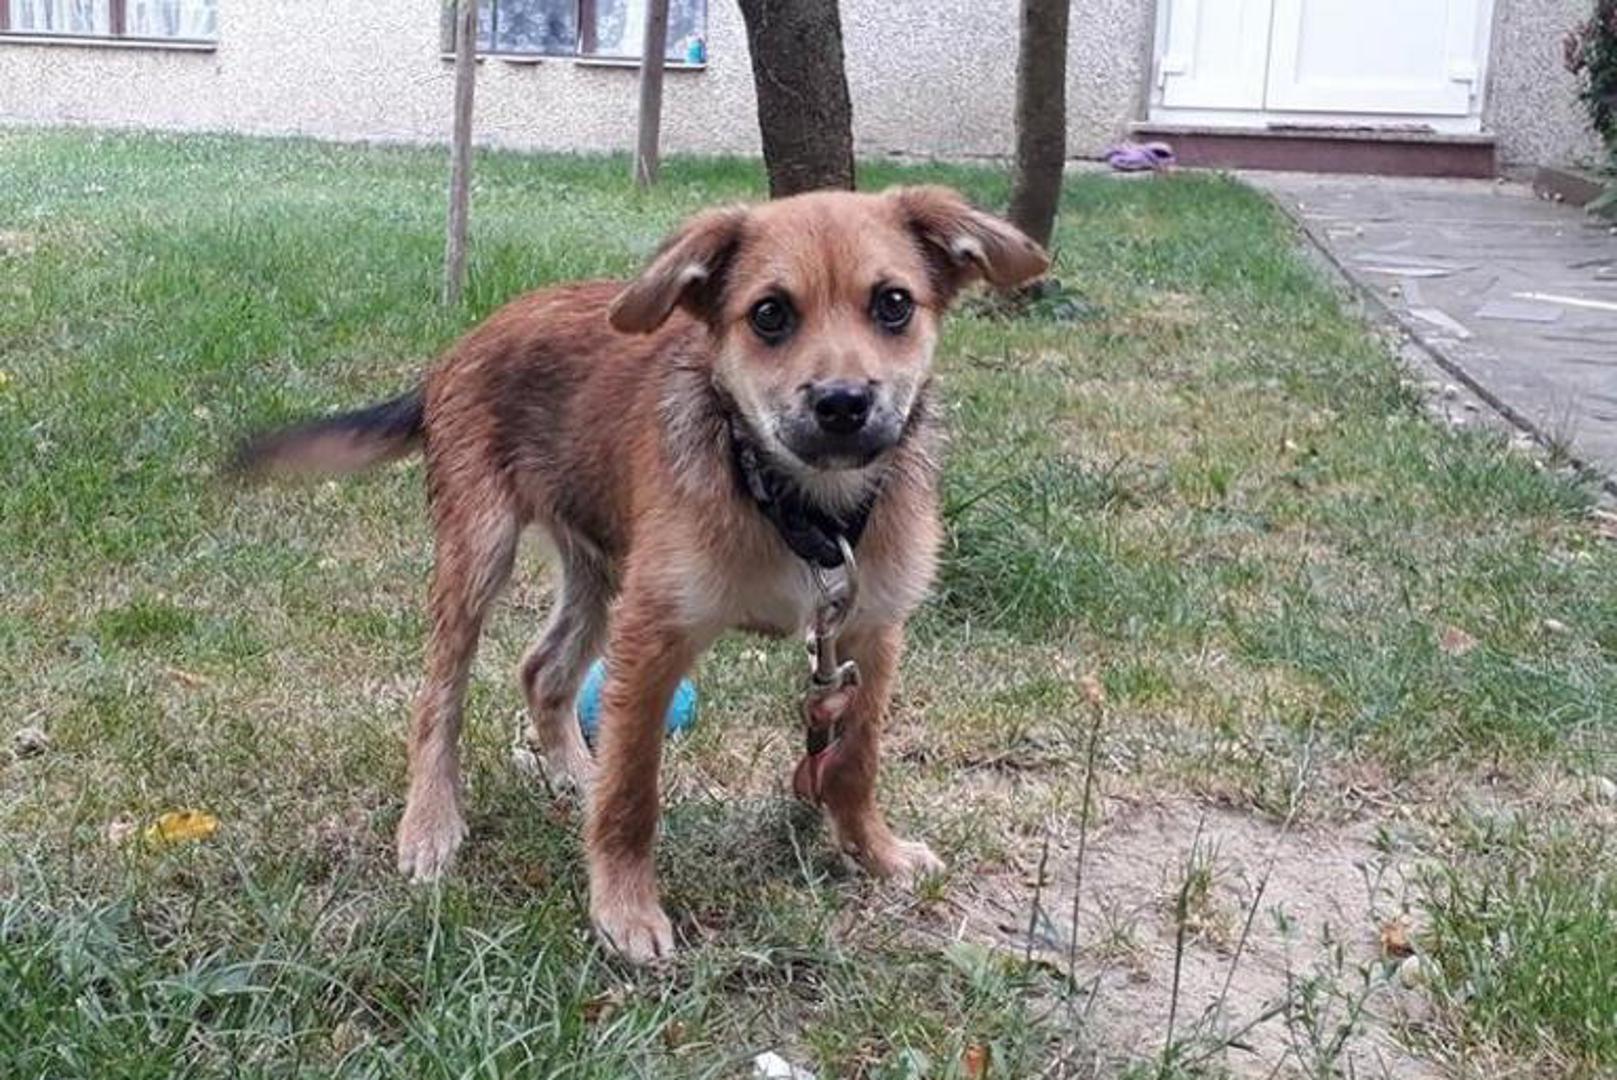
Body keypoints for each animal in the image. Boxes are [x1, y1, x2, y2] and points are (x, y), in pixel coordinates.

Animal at [237, 185, 1049, 962]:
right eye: (769, 314)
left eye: (893, 304)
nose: (843, 403)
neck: (797, 506)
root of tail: (463, 344)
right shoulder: (657, 632)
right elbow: (632, 791)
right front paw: (623, 911)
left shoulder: (867, 631)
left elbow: (854, 760)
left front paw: (875, 853)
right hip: (481, 548)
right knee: (440, 697)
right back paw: (431, 826)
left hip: (600, 566)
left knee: (544, 670)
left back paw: (573, 771)